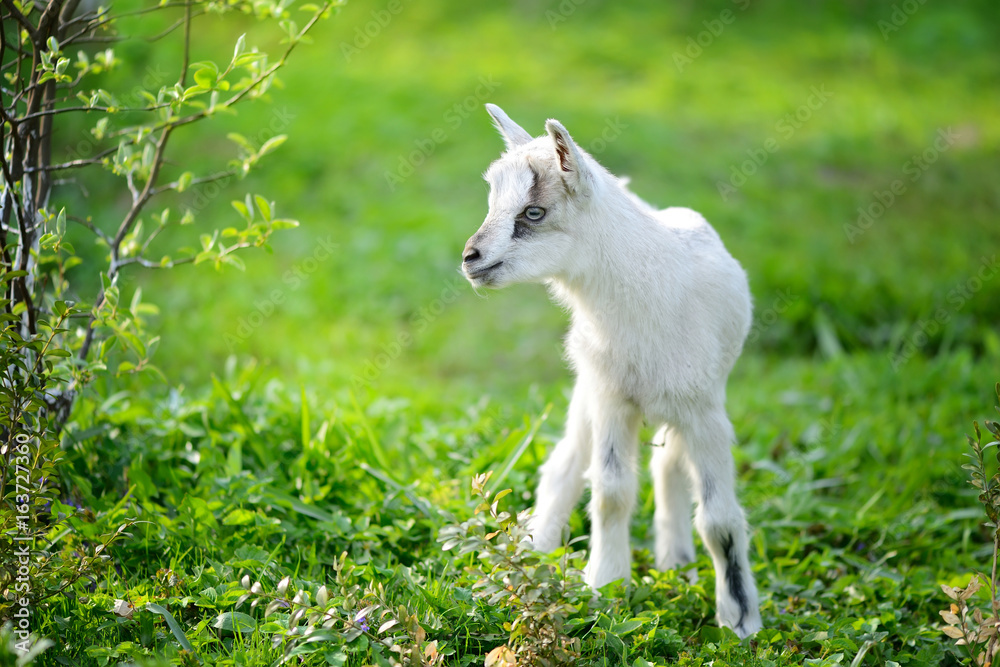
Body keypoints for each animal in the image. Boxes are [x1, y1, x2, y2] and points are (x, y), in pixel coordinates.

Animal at [460, 104, 762, 638]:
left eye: (533, 212)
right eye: (493, 201)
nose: (470, 258)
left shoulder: (704, 409)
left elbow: (719, 517)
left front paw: (739, 618)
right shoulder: (610, 398)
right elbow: (611, 492)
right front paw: (605, 585)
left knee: (668, 465)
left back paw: (676, 562)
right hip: (588, 389)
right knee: (564, 463)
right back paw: (536, 552)